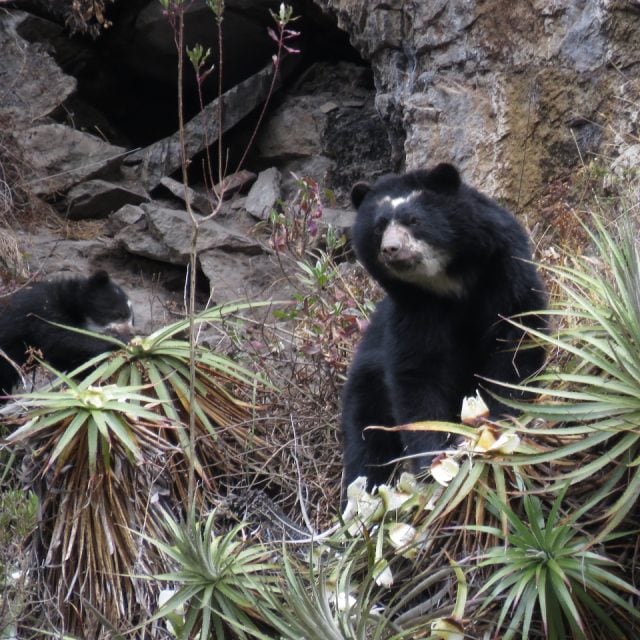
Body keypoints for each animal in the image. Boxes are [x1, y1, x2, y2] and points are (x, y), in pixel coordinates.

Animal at [0, 270, 134, 399]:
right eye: (119, 314)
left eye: (132, 320)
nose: (131, 332)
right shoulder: (42, 313)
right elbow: (64, 339)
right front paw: (122, 341)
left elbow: (67, 358)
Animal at [341, 163, 547, 494]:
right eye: (379, 227)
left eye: (414, 220)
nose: (391, 249)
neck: (448, 281)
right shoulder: (415, 310)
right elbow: (418, 374)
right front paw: (434, 462)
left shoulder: (505, 273)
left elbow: (517, 338)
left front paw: (498, 421)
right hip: (366, 386)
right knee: (366, 444)